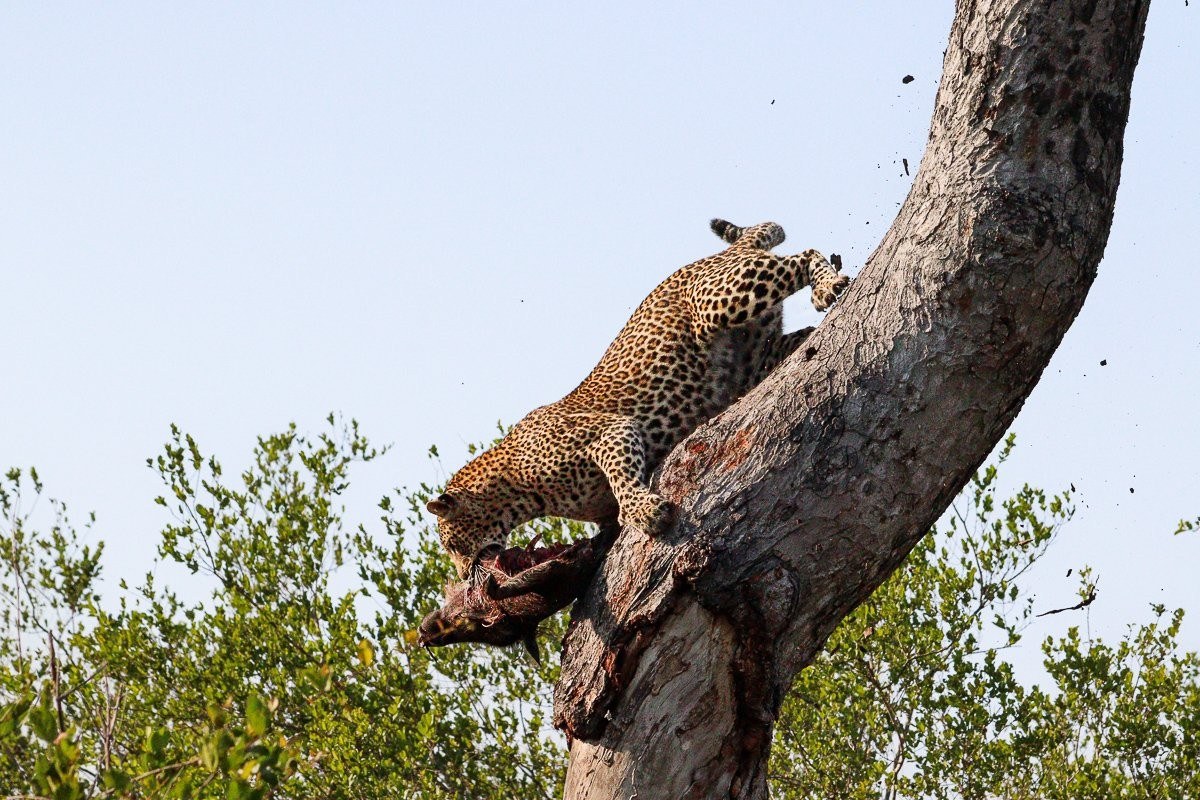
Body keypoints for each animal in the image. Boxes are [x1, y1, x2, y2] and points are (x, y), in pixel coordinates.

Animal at [427, 218, 850, 578]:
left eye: (452, 545)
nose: (463, 577)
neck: (516, 487)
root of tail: (722, 253)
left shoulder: (610, 432)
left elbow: (619, 477)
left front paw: (646, 512)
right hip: (756, 356)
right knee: (799, 335)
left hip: (722, 299)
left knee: (803, 256)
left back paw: (828, 284)